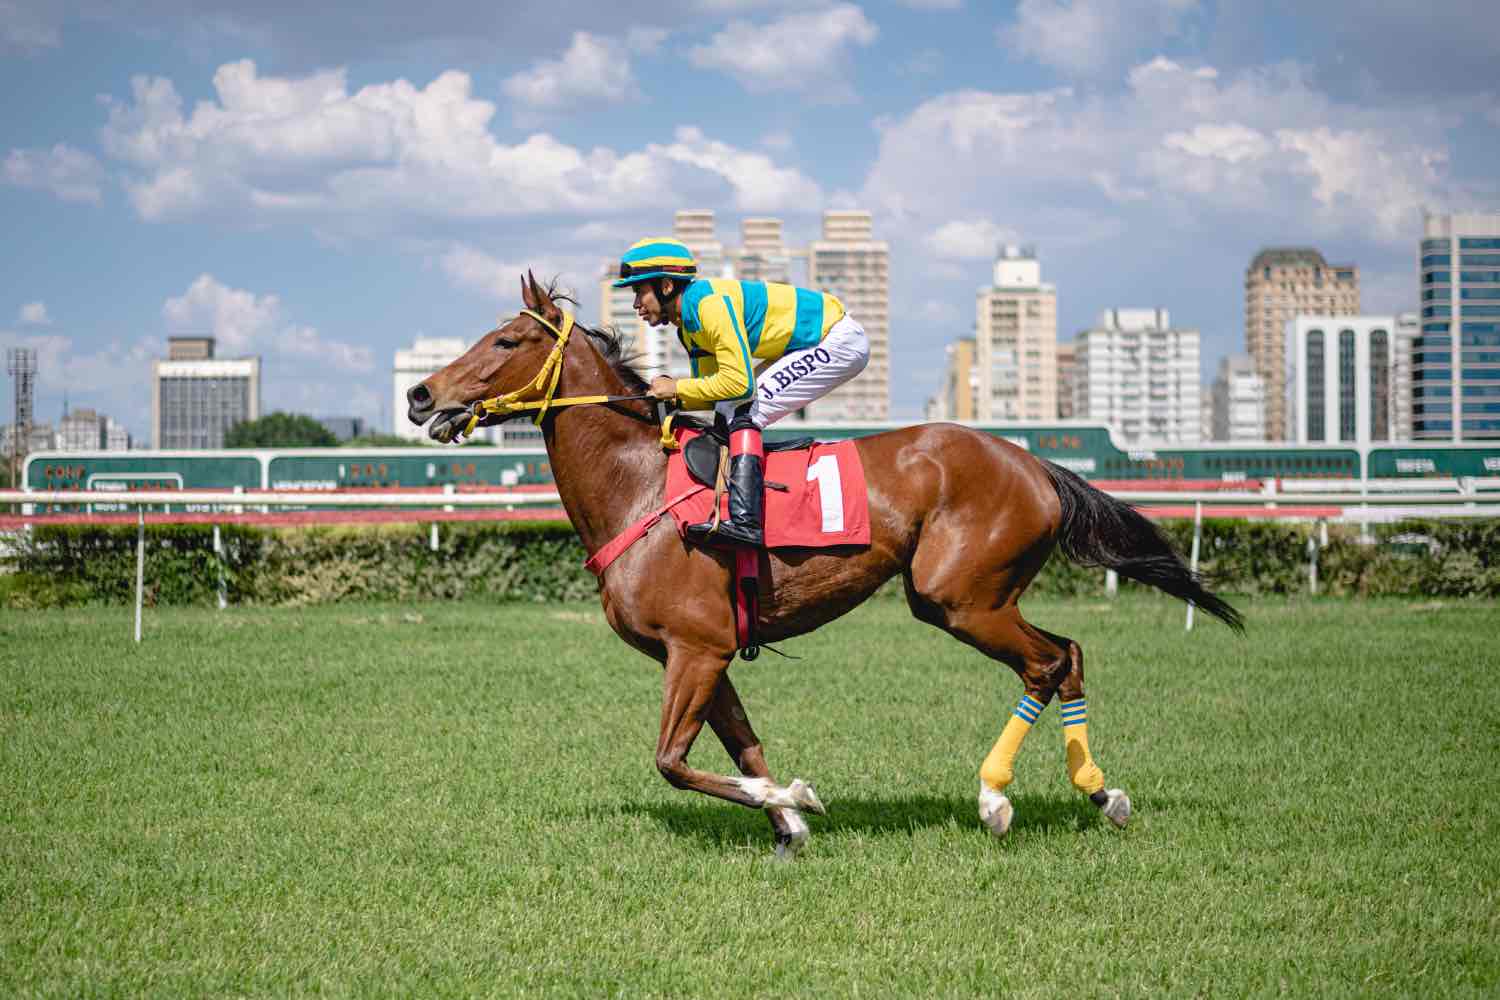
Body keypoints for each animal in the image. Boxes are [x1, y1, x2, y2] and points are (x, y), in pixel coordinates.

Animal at [405, 274, 1236, 863]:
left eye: (507, 339)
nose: (419, 393)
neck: (639, 485)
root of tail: (1031, 461)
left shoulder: (695, 648)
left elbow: (672, 761)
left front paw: (799, 799)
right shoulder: (709, 652)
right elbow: (742, 745)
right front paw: (787, 823)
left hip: (958, 597)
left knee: (1046, 663)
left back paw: (995, 800)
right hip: (981, 597)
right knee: (1069, 654)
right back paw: (1101, 792)